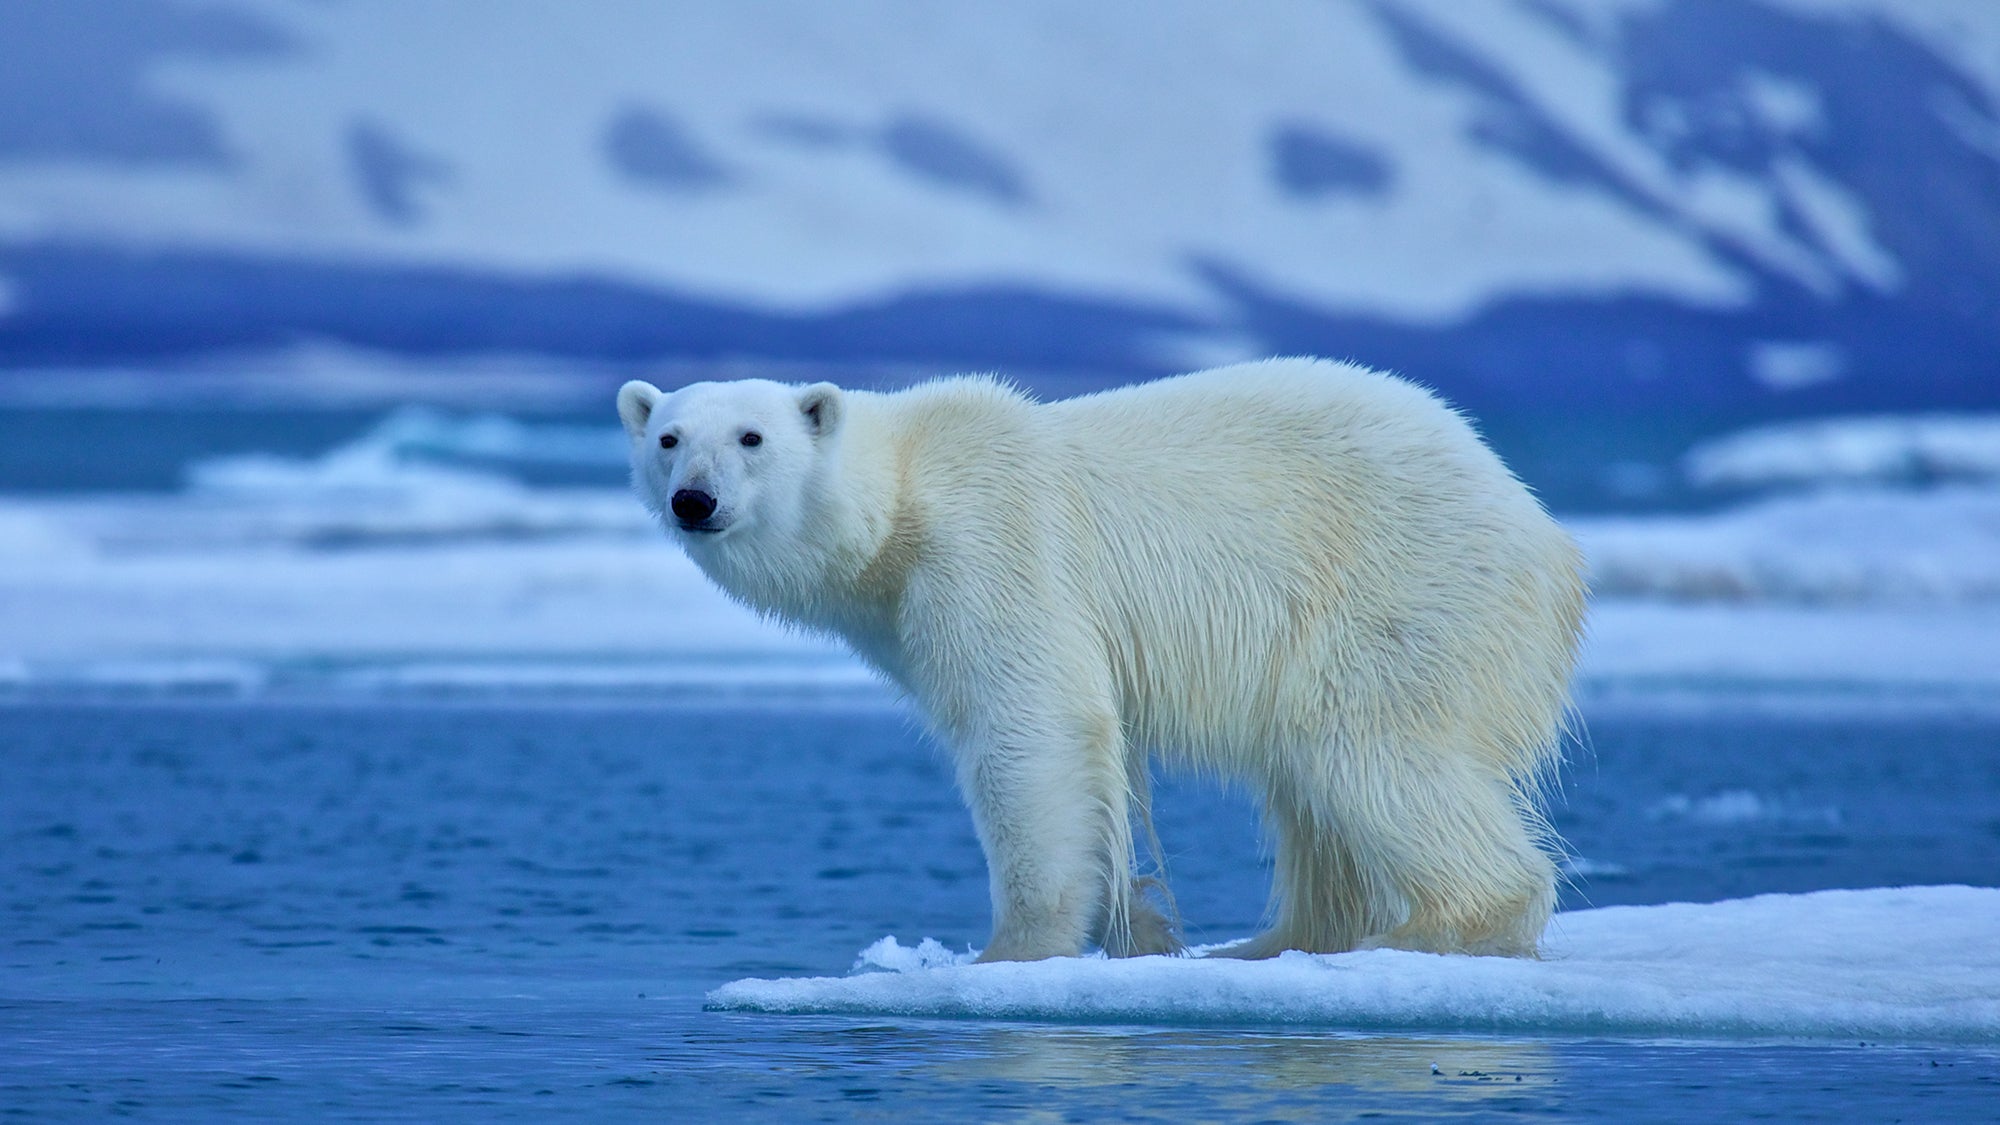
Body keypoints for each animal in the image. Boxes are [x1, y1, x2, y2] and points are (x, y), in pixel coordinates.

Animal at [616, 358, 1585, 962]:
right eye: (668, 437)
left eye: (752, 437)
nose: (694, 499)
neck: (900, 504)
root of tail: (1548, 536)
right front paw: (1145, 926)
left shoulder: (992, 549)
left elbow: (1032, 725)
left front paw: (1010, 948)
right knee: (1311, 789)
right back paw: (1272, 941)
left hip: (1400, 589)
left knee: (1369, 752)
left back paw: (1434, 927)